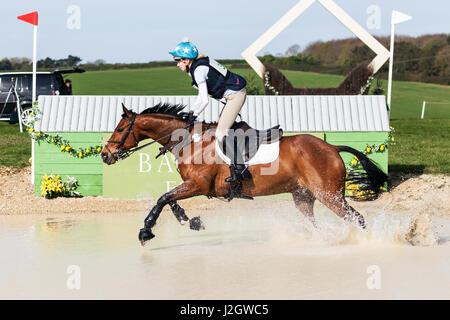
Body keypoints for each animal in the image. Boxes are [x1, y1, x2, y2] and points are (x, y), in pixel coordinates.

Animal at [102, 102, 386, 245]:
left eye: (120, 129)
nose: (105, 155)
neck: (190, 140)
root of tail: (332, 147)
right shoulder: (191, 185)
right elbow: (169, 200)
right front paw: (189, 220)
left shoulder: (198, 185)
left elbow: (163, 199)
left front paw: (145, 231)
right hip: (303, 196)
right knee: (315, 223)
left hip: (329, 195)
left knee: (357, 218)